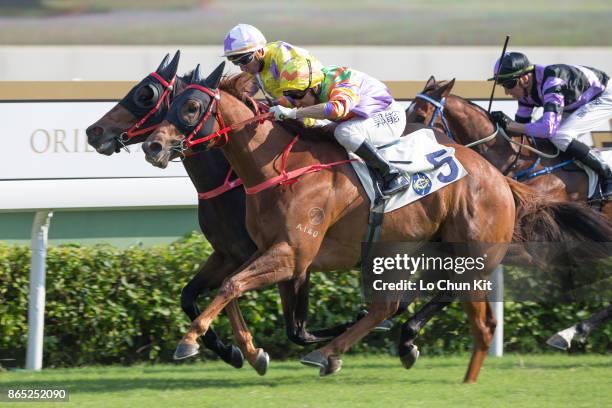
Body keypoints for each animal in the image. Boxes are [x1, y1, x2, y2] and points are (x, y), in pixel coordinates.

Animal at [143, 64, 612, 382]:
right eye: (167, 105)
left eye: (191, 106)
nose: (153, 146)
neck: (274, 167)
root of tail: (499, 178)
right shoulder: (267, 253)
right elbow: (236, 292)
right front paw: (249, 350)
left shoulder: (291, 254)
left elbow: (231, 287)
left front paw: (191, 340)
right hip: (418, 248)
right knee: (398, 302)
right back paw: (364, 347)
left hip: (469, 251)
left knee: (437, 303)